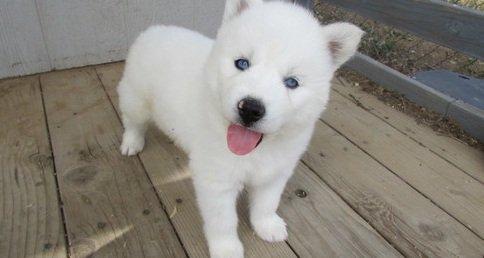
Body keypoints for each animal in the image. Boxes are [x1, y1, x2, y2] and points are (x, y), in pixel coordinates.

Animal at [119, 1, 364, 256]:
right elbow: (223, 221)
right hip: (135, 97)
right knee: (132, 121)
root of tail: (154, 29)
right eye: (242, 63)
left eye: (292, 82)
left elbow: (267, 204)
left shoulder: (276, 172)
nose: (251, 109)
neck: (258, 150)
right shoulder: (216, 179)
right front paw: (226, 248)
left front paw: (267, 226)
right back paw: (131, 143)